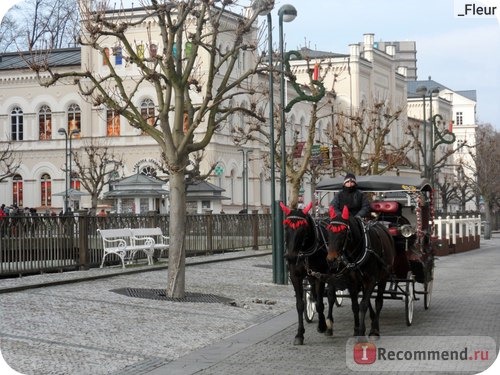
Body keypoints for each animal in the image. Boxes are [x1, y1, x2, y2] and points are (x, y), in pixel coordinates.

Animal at [282, 203, 336, 346]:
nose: (290, 257)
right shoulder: (295, 277)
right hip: (311, 277)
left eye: (302, 228)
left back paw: (329, 324)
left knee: (331, 297)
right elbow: (300, 305)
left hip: (331, 274)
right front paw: (299, 334)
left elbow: (320, 303)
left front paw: (322, 326)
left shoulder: (320, 276)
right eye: (286, 227)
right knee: (315, 295)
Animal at [326, 206, 396, 340]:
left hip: (383, 277)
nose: (331, 259)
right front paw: (356, 329)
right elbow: (355, 306)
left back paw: (374, 329)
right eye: (328, 231)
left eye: (343, 232)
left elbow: (363, 305)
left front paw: (362, 331)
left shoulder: (371, 280)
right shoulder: (352, 282)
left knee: (378, 302)